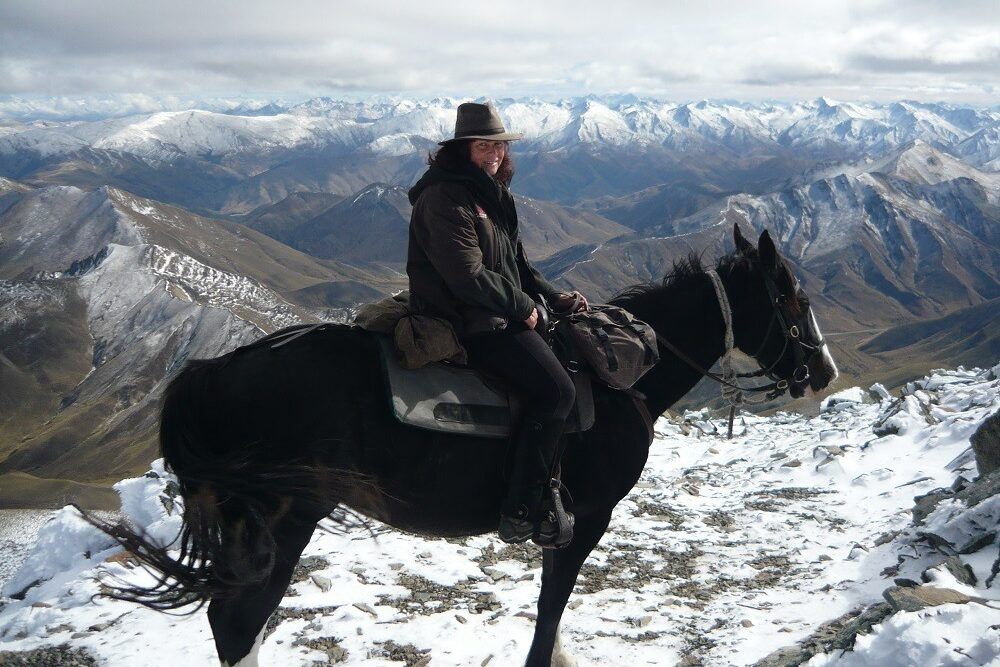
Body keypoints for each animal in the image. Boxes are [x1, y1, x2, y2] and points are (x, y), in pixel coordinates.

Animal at [94, 227, 840, 664]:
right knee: (238, 621)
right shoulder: (584, 519)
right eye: (793, 298)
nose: (824, 372)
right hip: (281, 519)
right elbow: (550, 612)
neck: (622, 374)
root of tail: (213, 369)